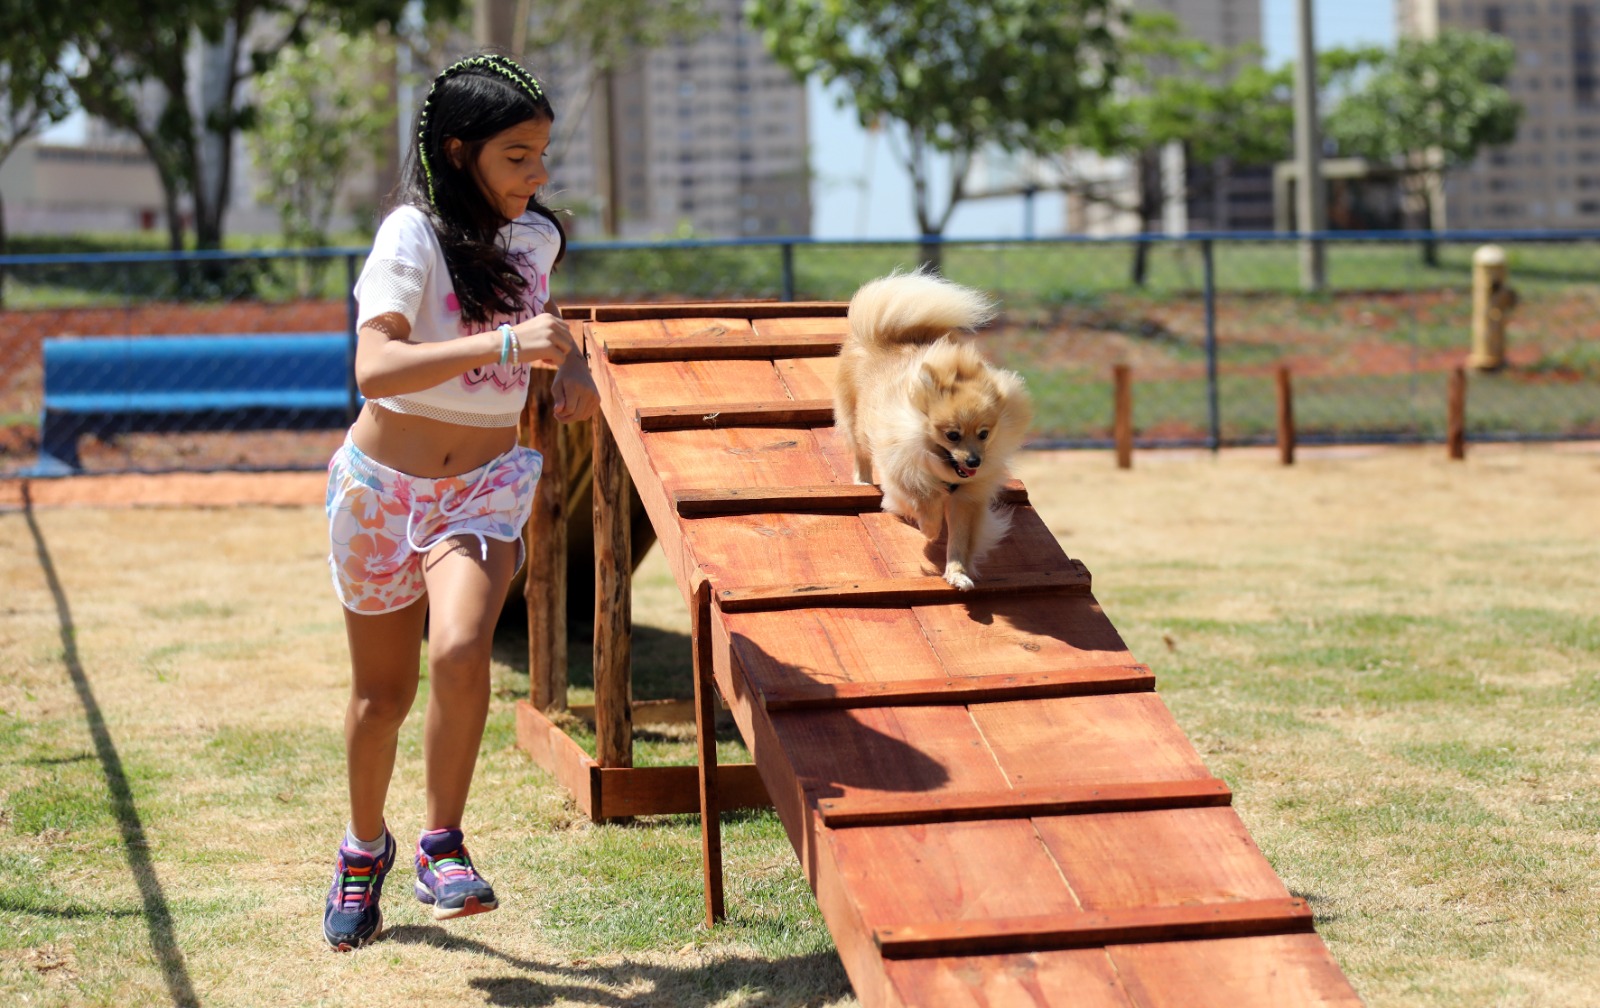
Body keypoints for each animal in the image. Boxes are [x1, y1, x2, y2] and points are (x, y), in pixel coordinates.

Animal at [835, 270, 1033, 590]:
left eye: (984, 434)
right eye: (952, 435)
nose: (974, 461)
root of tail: (882, 333)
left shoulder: (968, 498)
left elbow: (960, 540)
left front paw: (958, 573)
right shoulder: (903, 471)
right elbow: (924, 503)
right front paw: (929, 528)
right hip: (855, 423)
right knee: (860, 453)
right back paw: (863, 481)